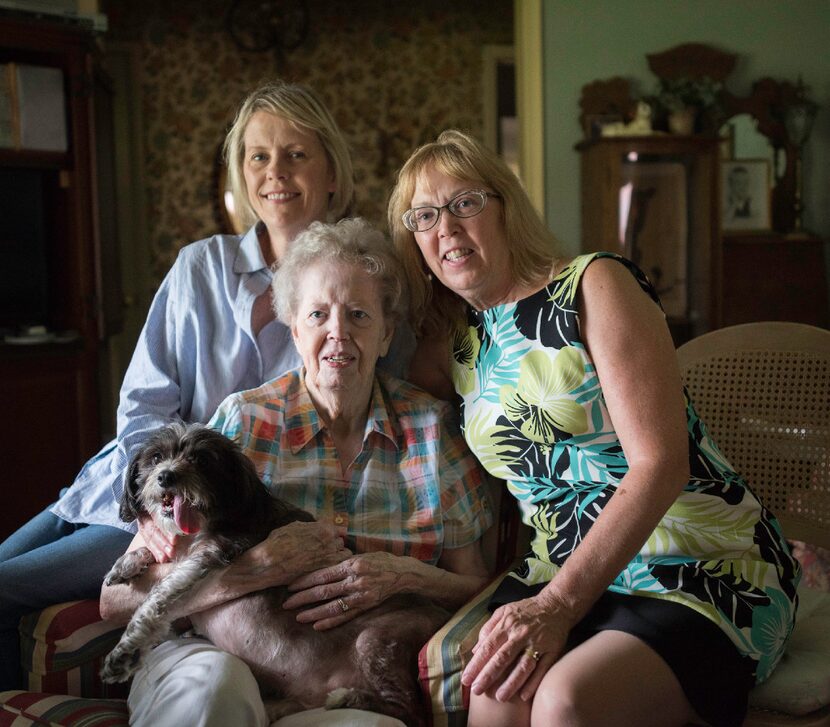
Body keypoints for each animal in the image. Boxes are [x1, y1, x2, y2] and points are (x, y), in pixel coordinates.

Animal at [105, 424, 456, 724]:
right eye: (155, 458)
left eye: (201, 460)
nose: (166, 476)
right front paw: (126, 563)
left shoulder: (214, 555)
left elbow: (162, 597)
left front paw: (127, 650)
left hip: (377, 641)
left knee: (410, 712)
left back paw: (347, 699)